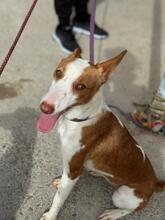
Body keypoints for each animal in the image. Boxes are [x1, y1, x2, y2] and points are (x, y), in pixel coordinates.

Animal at [37, 49, 165, 220]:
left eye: (81, 86)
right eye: (58, 72)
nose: (45, 108)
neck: (83, 117)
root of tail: (154, 183)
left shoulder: (73, 170)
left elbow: (59, 198)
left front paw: (50, 215)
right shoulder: (71, 169)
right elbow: (62, 186)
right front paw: (60, 183)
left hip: (121, 195)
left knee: (132, 209)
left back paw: (113, 213)